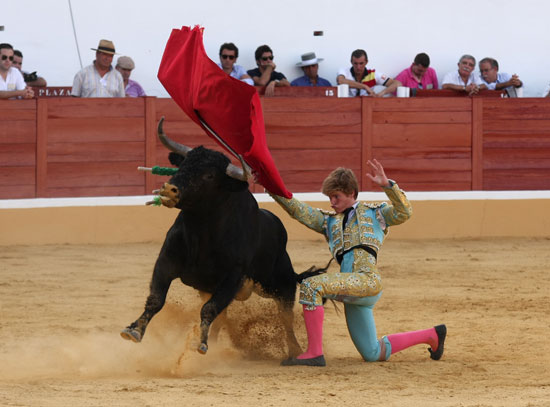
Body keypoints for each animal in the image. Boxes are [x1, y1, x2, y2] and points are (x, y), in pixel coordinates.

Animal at [118, 120, 322, 356]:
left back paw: (295, 351)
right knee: (223, 317)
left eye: (209, 176)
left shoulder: (231, 278)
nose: (169, 189)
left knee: (285, 314)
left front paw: (200, 344)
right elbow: (156, 299)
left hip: (281, 282)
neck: (200, 230)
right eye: (183, 165)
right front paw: (134, 330)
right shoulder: (166, 262)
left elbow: (209, 309)